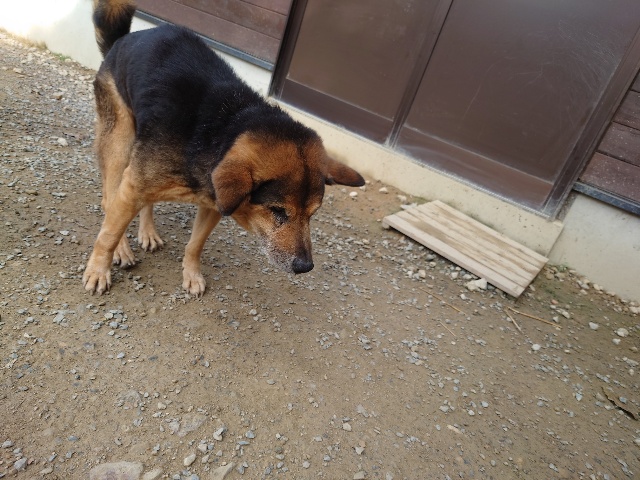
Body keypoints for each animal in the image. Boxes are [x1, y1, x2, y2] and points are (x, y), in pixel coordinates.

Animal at [83, 0, 365, 296]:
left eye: (313, 214)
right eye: (277, 211)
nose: (304, 266)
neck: (223, 129)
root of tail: (123, 40)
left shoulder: (213, 204)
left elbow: (196, 244)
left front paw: (192, 274)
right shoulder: (134, 187)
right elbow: (108, 234)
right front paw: (98, 270)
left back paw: (147, 232)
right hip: (119, 143)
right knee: (109, 200)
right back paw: (122, 250)